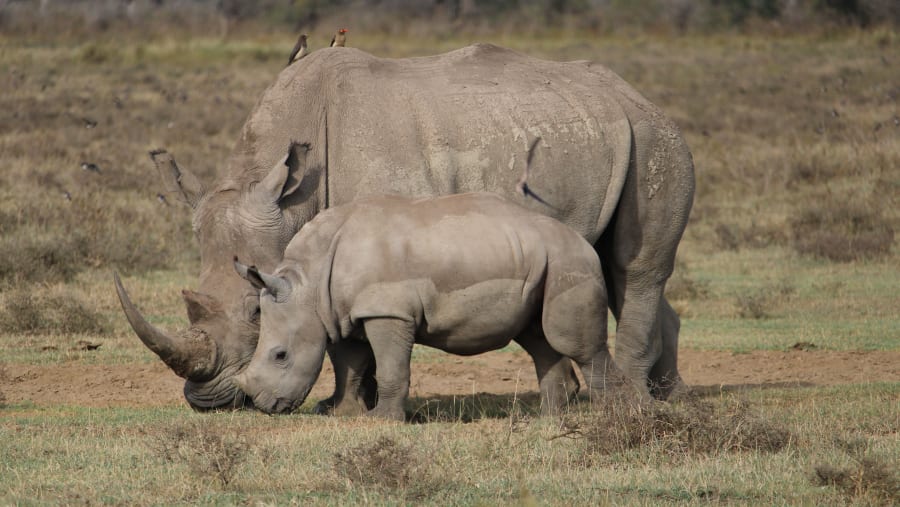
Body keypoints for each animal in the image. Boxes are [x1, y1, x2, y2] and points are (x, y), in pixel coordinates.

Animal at [232, 193, 627, 418]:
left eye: (280, 355)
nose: (262, 406)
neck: (308, 282)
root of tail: (584, 242)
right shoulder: (342, 313)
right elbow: (350, 366)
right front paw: (343, 413)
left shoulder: (387, 310)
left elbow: (390, 368)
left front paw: (382, 420)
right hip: (538, 262)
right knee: (538, 340)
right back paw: (548, 420)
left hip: (569, 262)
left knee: (574, 343)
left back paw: (612, 419)